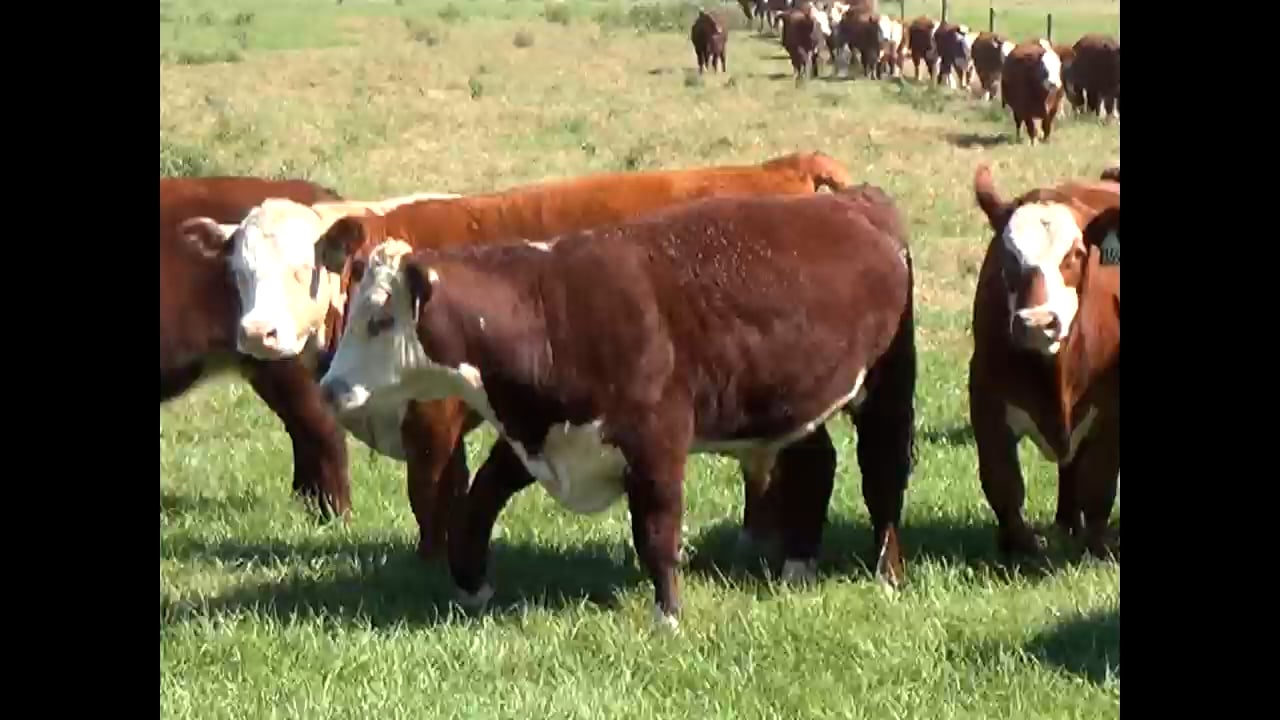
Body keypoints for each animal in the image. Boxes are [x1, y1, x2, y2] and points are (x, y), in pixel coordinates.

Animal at [315, 184, 919, 629]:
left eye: (380, 320)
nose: (330, 388)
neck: (551, 310)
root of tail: (856, 200)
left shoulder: (656, 443)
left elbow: (657, 532)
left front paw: (668, 617)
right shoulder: (544, 435)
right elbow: (477, 503)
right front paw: (471, 584)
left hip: (887, 392)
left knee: (882, 479)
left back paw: (888, 574)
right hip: (790, 402)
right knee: (817, 464)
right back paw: (797, 567)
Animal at [968, 165, 1120, 562]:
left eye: (1077, 254)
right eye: (1007, 256)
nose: (1038, 323)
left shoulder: (1110, 411)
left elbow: (1098, 485)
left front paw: (1097, 549)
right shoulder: (986, 398)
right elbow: (1003, 483)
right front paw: (1017, 547)